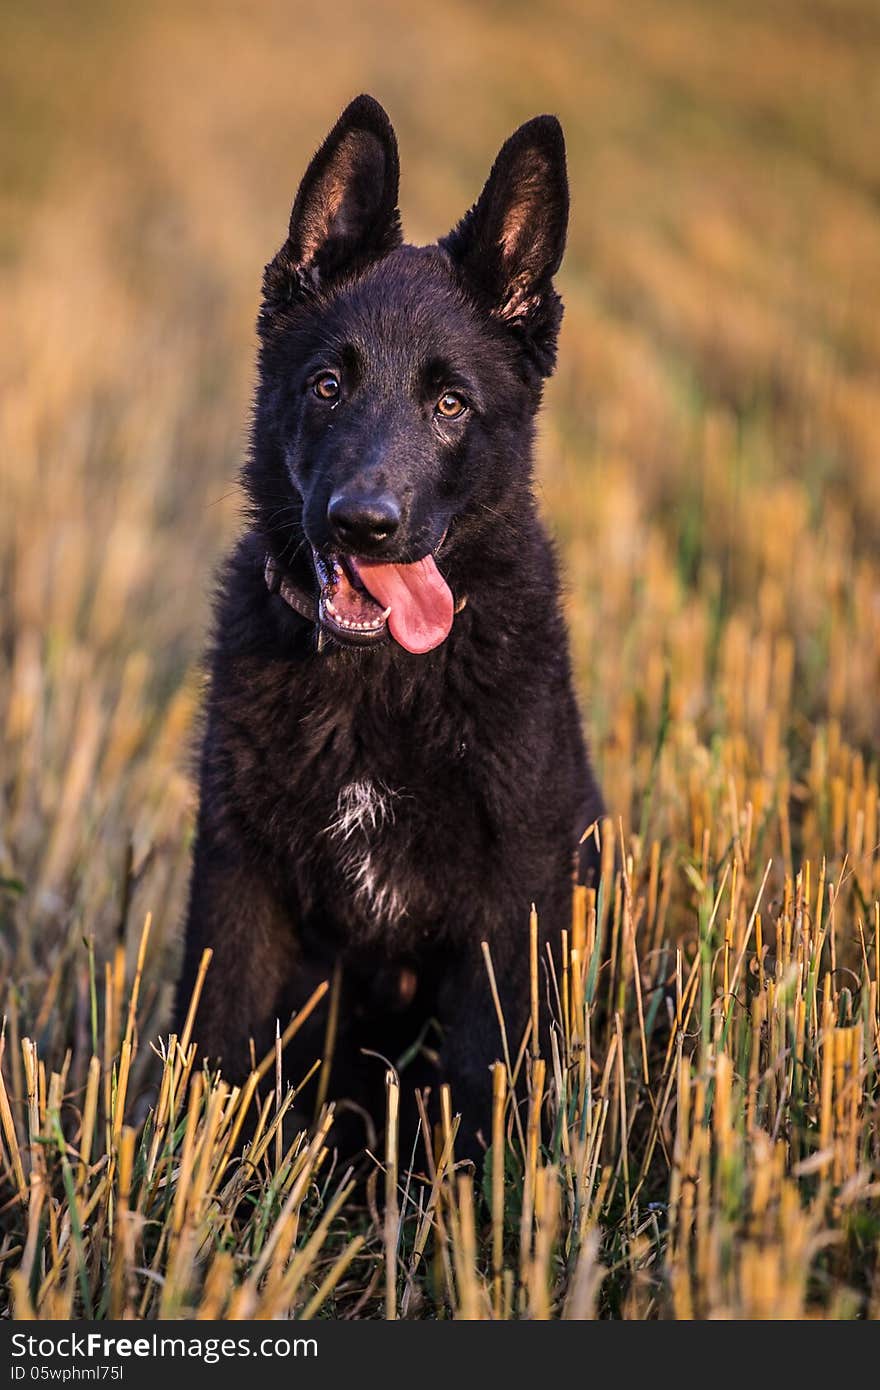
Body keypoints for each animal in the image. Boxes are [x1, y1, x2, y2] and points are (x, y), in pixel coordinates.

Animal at [177, 95, 603, 1162]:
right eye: (328, 385)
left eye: (451, 404)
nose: (363, 524)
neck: (380, 682)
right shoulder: (239, 883)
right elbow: (214, 1051)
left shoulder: (508, 908)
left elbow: (490, 1083)